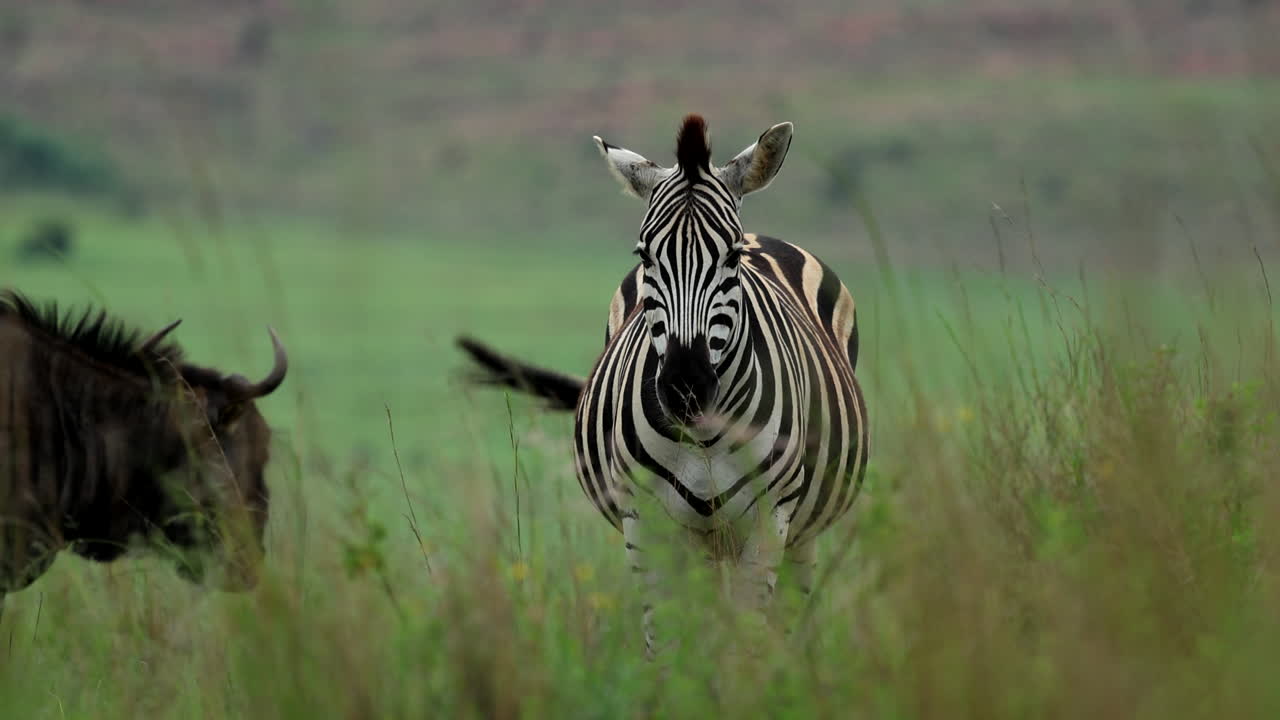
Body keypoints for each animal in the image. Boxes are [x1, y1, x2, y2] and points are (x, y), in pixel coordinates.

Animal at [458, 114, 869, 656]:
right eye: (646, 255)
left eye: (732, 257)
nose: (685, 387)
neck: (704, 437)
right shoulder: (647, 527)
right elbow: (671, 648)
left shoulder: (767, 523)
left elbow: (748, 644)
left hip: (796, 534)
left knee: (788, 619)